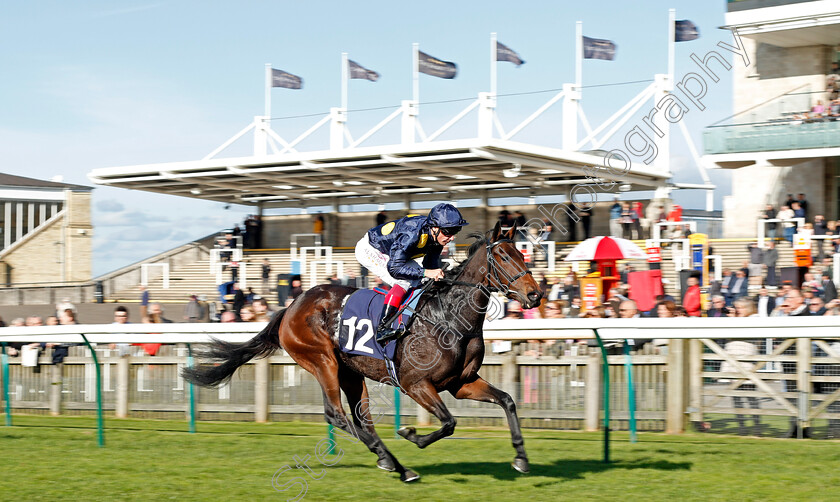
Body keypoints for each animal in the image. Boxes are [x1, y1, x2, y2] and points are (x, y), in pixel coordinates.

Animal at [180, 224, 540, 482]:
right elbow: (449, 422)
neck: (447, 317)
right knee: (336, 415)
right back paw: (398, 466)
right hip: (322, 361)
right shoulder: (416, 384)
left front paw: (521, 459)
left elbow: (507, 400)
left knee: (360, 418)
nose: (535, 295)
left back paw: (391, 462)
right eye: (504, 257)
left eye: (523, 254)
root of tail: (290, 307)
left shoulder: (460, 383)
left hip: (351, 372)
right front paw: (412, 434)